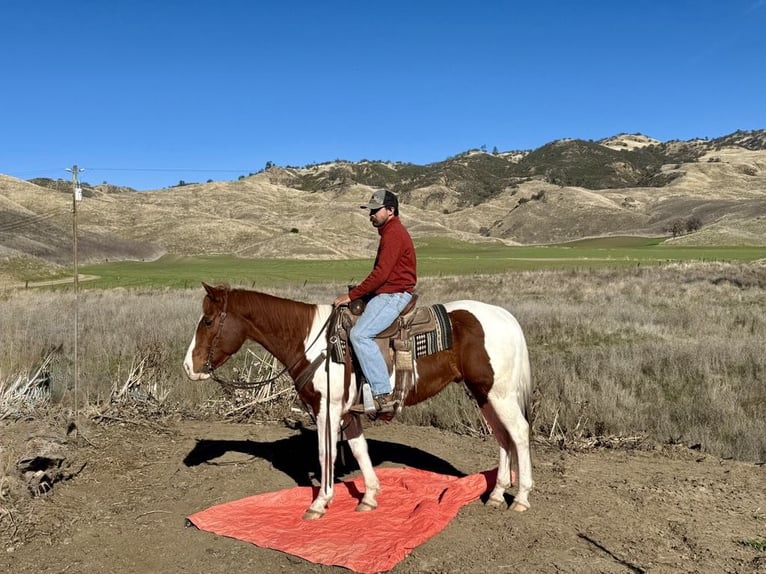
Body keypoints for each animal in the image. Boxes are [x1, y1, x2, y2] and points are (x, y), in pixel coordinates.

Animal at [183, 283, 534, 519]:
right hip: (483, 394)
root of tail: (504, 316)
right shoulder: (347, 412)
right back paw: (497, 494)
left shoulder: (326, 410)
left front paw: (320, 502)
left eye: (209, 321)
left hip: (499, 394)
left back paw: (521, 498)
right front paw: (369, 497)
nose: (189, 367)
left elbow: (325, 454)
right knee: (503, 438)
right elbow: (359, 450)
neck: (311, 341)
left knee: (518, 433)